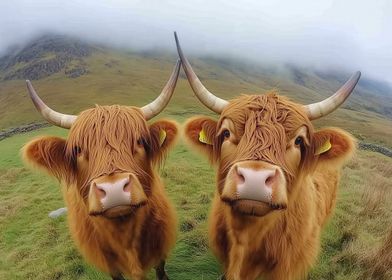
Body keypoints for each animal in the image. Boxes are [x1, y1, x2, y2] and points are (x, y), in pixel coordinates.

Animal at [25, 60, 181, 278]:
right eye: (78, 150)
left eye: (140, 141)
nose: (114, 189)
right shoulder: (109, 263)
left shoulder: (160, 243)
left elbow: (160, 269)